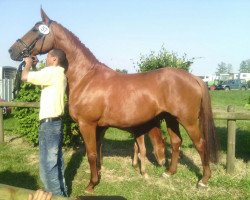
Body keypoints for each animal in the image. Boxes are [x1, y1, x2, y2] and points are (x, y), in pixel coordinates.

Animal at [8, 9, 218, 192]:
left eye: (36, 29)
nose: (12, 51)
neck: (86, 78)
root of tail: (194, 78)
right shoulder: (100, 127)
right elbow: (98, 153)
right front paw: (98, 176)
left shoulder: (87, 124)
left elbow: (92, 154)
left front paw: (91, 185)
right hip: (170, 118)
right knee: (176, 142)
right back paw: (169, 173)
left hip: (188, 120)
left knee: (201, 144)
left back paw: (204, 180)